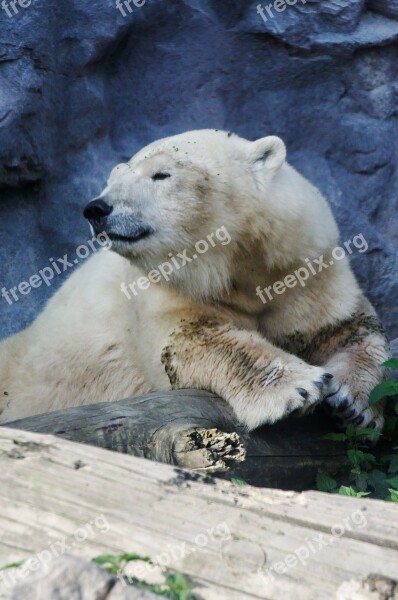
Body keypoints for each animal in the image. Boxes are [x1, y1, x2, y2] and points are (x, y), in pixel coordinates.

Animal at [0, 130, 388, 432]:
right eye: (113, 180)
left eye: (161, 175)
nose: (97, 208)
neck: (240, 268)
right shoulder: (165, 290)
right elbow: (196, 341)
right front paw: (299, 387)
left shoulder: (305, 270)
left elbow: (351, 327)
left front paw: (353, 402)